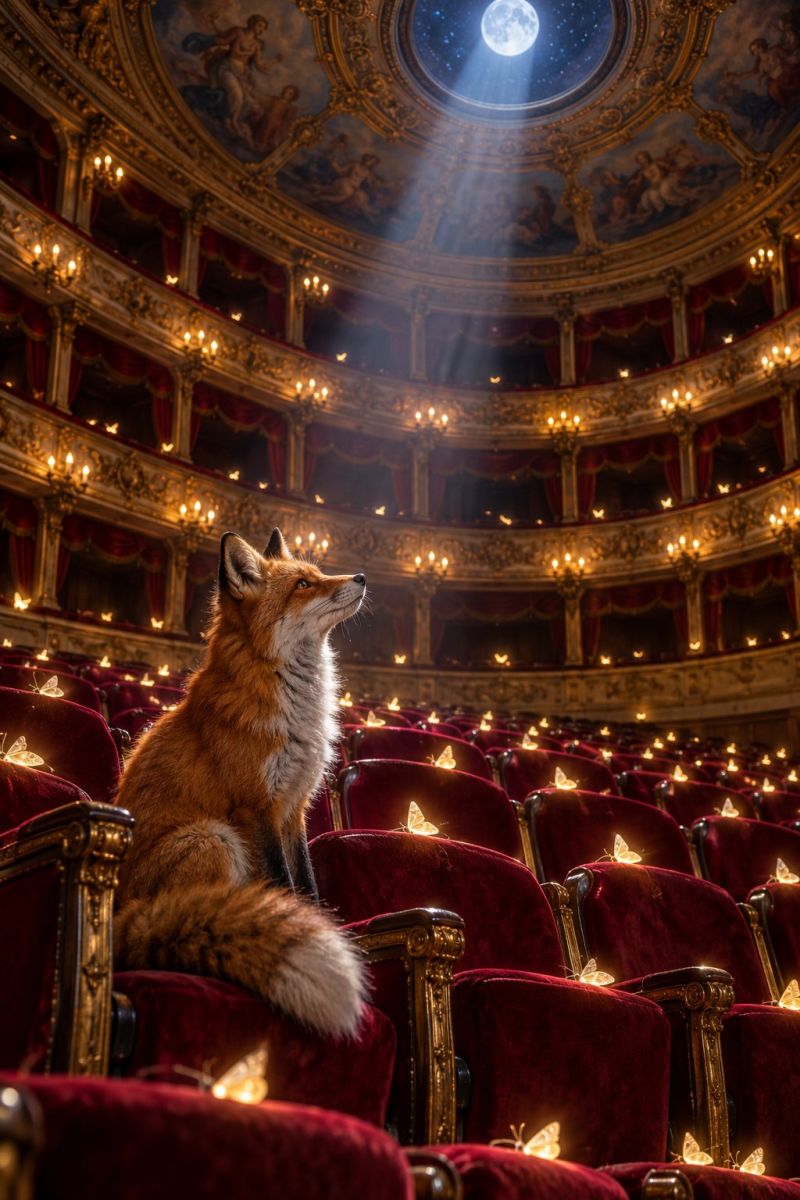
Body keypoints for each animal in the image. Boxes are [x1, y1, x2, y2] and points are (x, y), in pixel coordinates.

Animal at [112, 528, 368, 1037]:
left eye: (317, 573)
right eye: (303, 584)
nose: (362, 577)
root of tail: (121, 915)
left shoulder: (294, 809)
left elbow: (307, 887)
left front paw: (317, 924)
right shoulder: (256, 809)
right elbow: (283, 884)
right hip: (214, 837)